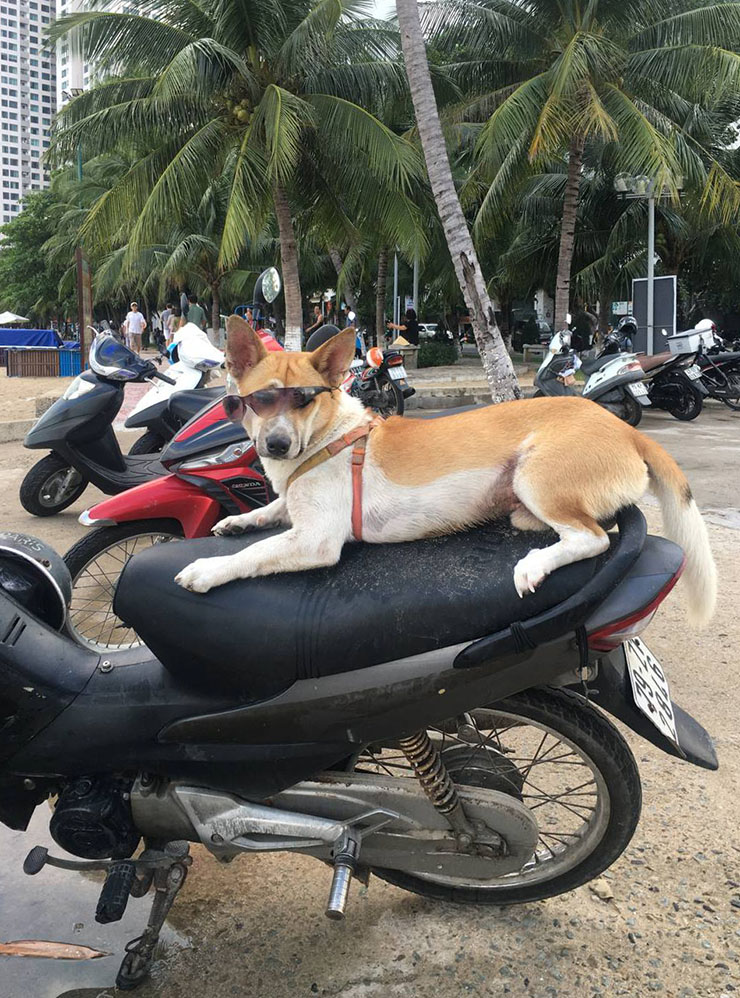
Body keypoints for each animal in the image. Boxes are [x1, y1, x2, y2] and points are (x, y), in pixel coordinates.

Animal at [175, 316, 716, 624]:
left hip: (535, 476)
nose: (278, 444)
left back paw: (535, 564)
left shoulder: (314, 540)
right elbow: (271, 510)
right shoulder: (294, 505)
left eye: (305, 400)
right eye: (261, 401)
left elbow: (255, 553)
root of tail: (627, 430)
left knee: (592, 538)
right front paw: (236, 520)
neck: (327, 438)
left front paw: (207, 569)